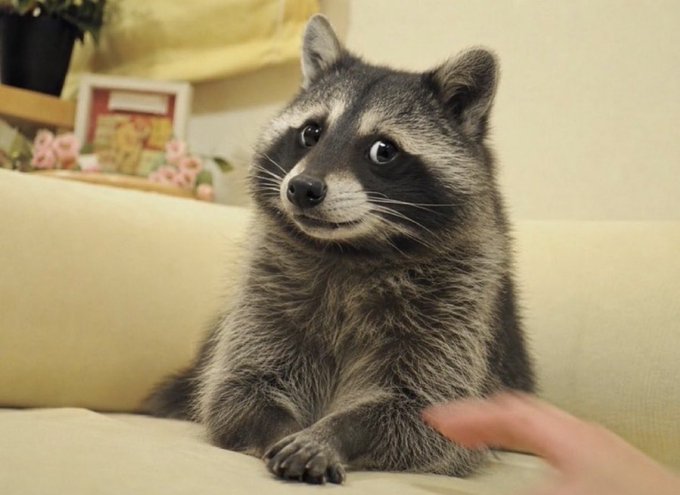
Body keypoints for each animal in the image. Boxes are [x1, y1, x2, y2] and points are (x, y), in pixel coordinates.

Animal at [147, 14, 534, 485]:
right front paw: (282, 427)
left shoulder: (458, 310)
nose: (301, 189)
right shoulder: (268, 291)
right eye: (311, 132)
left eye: (383, 150)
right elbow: (237, 388)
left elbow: (427, 411)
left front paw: (331, 433)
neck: (351, 251)